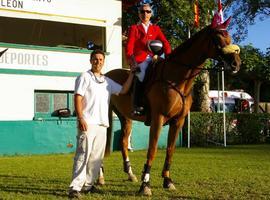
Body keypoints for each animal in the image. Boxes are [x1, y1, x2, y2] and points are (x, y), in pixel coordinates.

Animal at [105, 18, 240, 196]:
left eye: (229, 37)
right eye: (218, 38)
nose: (236, 63)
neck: (177, 80)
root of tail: (106, 73)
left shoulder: (178, 121)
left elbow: (170, 150)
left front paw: (167, 180)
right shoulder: (158, 119)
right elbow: (152, 150)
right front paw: (145, 184)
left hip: (125, 117)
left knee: (122, 141)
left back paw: (130, 174)